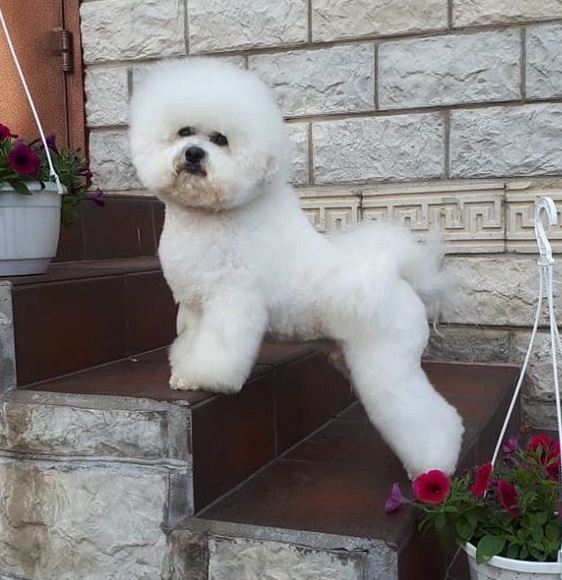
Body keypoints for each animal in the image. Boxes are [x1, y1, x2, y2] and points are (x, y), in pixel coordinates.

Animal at [128, 57, 464, 476]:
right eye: (184, 131)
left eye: (220, 139)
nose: (192, 154)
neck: (213, 217)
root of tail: (397, 275)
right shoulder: (194, 306)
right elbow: (191, 342)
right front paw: (185, 373)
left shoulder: (232, 300)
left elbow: (220, 347)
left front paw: (208, 378)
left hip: (387, 360)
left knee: (423, 415)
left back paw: (433, 469)